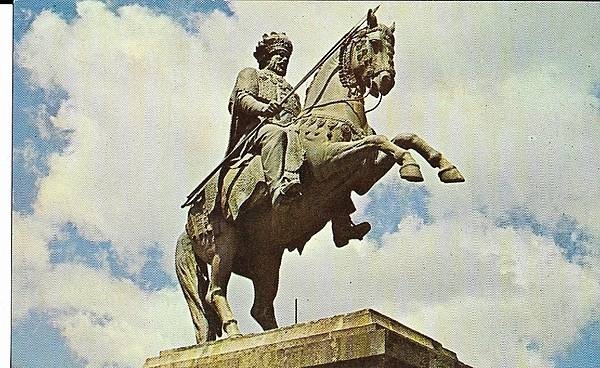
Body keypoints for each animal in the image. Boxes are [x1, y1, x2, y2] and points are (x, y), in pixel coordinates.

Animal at [175, 10, 464, 344]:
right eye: (374, 43)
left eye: (392, 45)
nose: (386, 80)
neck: (334, 115)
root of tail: (187, 227)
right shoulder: (327, 161)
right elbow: (380, 140)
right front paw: (411, 166)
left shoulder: (363, 172)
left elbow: (403, 137)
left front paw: (444, 167)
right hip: (224, 246)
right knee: (214, 292)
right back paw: (235, 334)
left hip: (267, 259)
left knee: (261, 307)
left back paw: (282, 335)